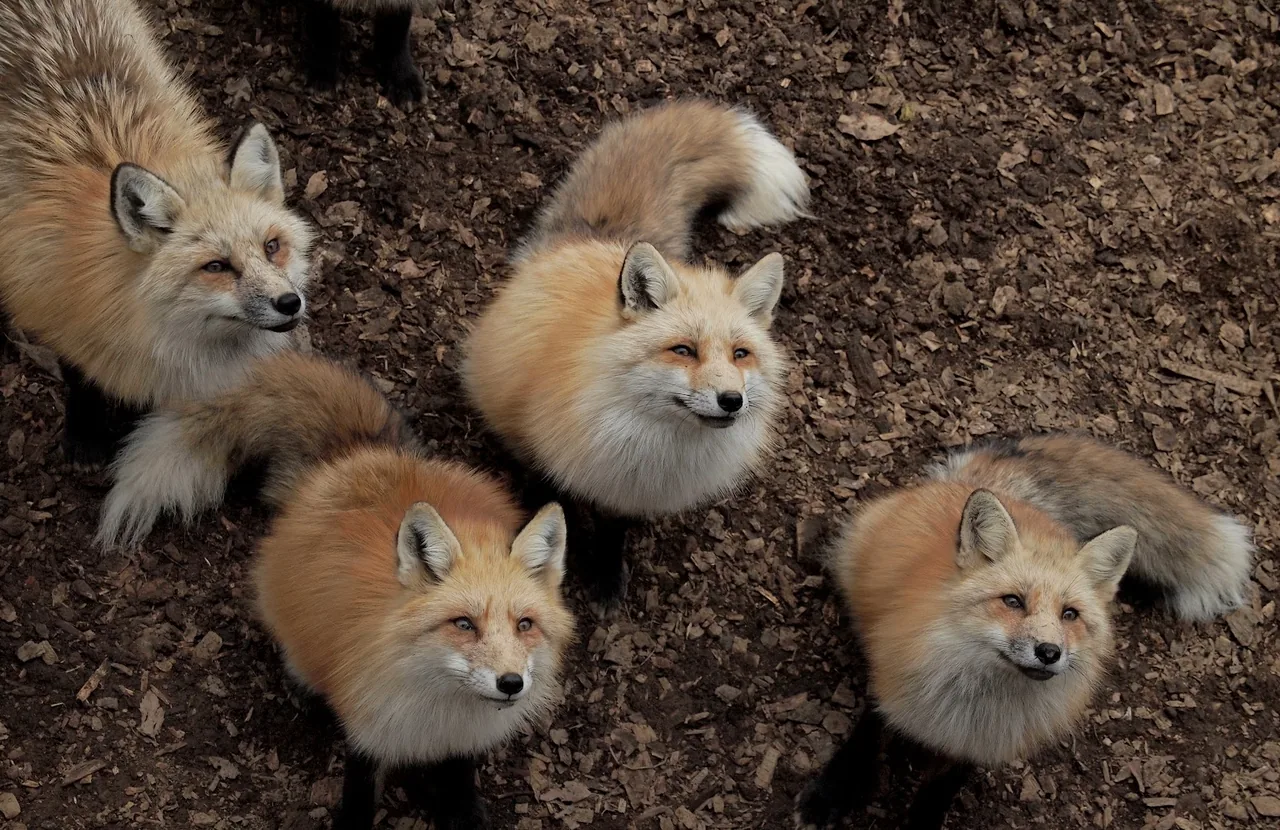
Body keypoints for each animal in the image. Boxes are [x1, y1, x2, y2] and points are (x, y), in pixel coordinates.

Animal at [0, 0, 315, 463]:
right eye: (216, 266)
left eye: (272, 246)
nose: (290, 303)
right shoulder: (57, 318)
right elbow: (79, 377)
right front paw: (83, 432)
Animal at [94, 351, 574, 830]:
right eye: (464, 624)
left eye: (525, 624)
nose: (511, 683)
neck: (442, 712)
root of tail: (358, 456)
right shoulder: (367, 728)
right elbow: (359, 798)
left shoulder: (462, 745)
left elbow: (459, 788)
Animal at [463, 99, 809, 605]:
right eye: (683, 350)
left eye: (741, 354)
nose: (732, 401)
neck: (658, 447)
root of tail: (592, 242)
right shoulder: (552, 451)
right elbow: (550, 502)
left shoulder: (629, 490)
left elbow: (614, 531)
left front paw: (607, 574)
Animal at [798, 434, 1255, 830]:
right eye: (1013, 601)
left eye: (1070, 614)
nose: (1049, 651)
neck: (975, 704)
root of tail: (985, 486)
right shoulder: (889, 684)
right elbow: (865, 738)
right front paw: (833, 793)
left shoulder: (979, 744)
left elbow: (937, 794)